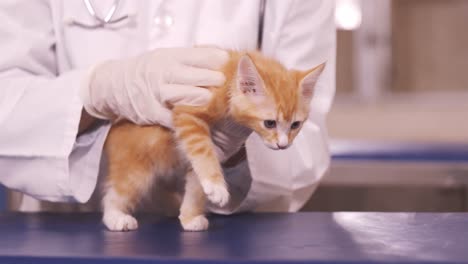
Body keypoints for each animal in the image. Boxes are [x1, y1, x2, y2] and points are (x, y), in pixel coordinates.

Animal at [101, 51, 326, 231]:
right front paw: (216, 186)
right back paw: (115, 217)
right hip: (136, 166)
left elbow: (196, 182)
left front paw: (190, 215)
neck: (229, 78)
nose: (283, 145)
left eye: (295, 125)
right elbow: (202, 151)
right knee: (118, 191)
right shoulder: (188, 112)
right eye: (269, 123)